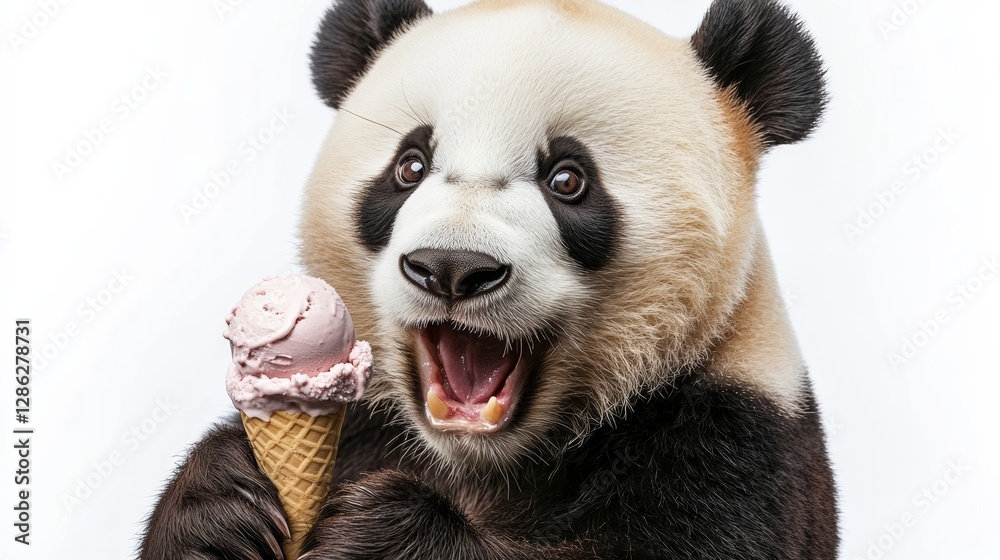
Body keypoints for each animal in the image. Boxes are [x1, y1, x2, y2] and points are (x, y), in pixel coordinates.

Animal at [141, 0, 837, 558]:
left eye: (568, 179)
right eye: (409, 166)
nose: (451, 267)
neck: (478, 463)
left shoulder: (735, 440)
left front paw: (383, 534)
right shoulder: (369, 426)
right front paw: (219, 503)